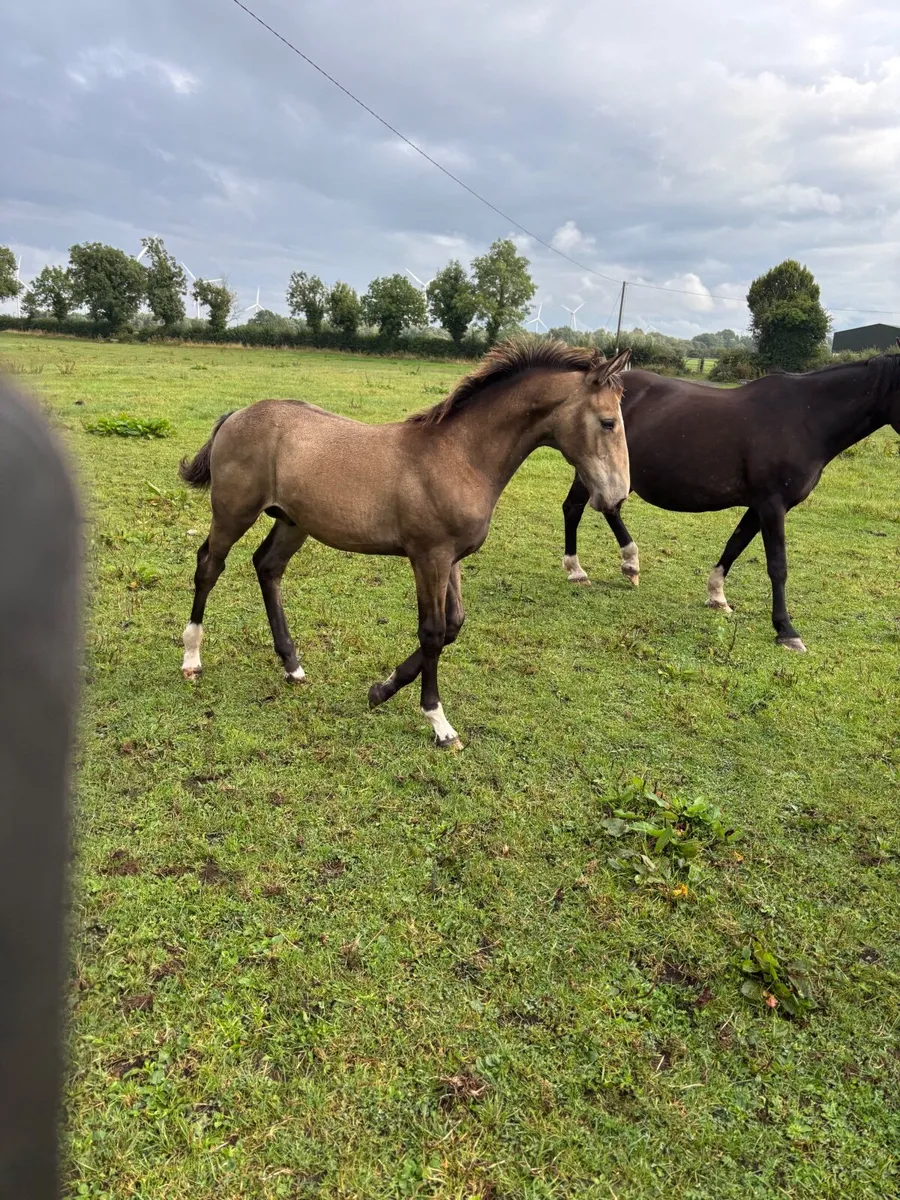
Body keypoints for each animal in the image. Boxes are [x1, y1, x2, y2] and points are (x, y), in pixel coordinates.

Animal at [177, 341, 632, 748]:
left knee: (267, 566)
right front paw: (439, 723)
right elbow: (432, 632)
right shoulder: (428, 557)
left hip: (292, 522)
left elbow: (454, 625)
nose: (615, 497)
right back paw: (192, 658)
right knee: (209, 566)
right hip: (233, 513)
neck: (460, 456)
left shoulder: (451, 559)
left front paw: (382, 689)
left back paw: (292, 665)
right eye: (608, 422)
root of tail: (236, 414)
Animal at [559, 352, 900, 651]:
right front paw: (787, 631)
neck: (805, 417)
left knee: (609, 508)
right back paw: (577, 571)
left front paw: (717, 596)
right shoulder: (772, 505)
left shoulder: (760, 506)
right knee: (574, 509)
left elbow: (735, 545)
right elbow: (778, 566)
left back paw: (630, 564)